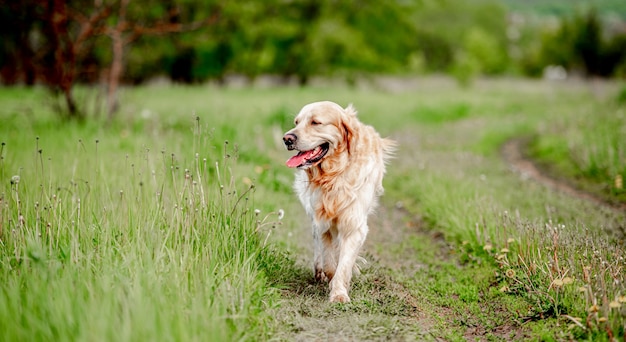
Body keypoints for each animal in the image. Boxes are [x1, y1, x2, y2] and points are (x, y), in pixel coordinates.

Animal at [284, 101, 394, 302]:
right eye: (296, 122)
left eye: (315, 122)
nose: (287, 138)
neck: (335, 175)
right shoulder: (322, 221)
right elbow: (329, 261)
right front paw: (330, 278)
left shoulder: (354, 224)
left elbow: (344, 263)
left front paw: (339, 294)